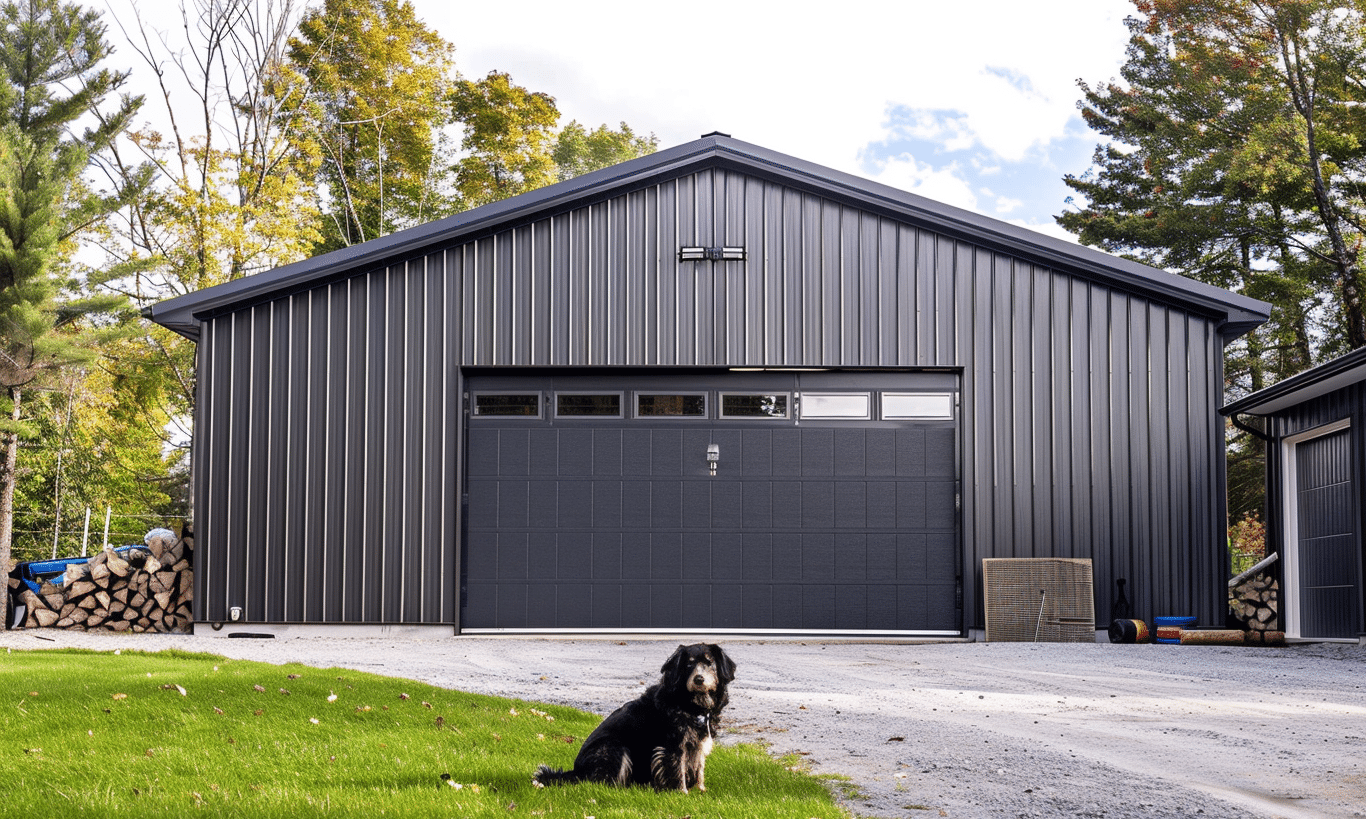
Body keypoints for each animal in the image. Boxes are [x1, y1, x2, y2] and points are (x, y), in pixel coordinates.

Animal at [530, 644, 737, 791]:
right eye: (689, 664)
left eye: (709, 663)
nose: (699, 679)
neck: (691, 703)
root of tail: (576, 772)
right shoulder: (673, 743)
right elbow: (677, 769)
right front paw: (681, 793)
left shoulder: (698, 741)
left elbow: (698, 767)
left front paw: (701, 791)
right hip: (614, 747)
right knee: (601, 782)